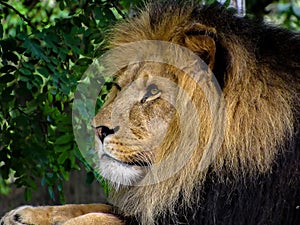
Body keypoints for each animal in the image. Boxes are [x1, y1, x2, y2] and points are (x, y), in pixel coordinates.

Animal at [1, 0, 298, 225]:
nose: (98, 129)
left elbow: (101, 217)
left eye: (153, 91)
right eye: (119, 86)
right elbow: (93, 207)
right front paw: (22, 216)